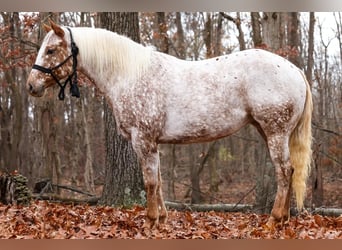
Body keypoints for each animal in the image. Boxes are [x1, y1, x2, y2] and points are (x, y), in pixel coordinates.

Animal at [27, 21, 312, 229]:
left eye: (50, 50)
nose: (31, 86)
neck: (130, 74)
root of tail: (295, 70)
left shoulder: (143, 140)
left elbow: (150, 182)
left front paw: (150, 221)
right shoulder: (153, 143)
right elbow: (160, 180)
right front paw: (162, 220)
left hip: (275, 132)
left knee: (284, 171)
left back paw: (274, 220)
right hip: (269, 132)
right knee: (290, 171)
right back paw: (285, 219)